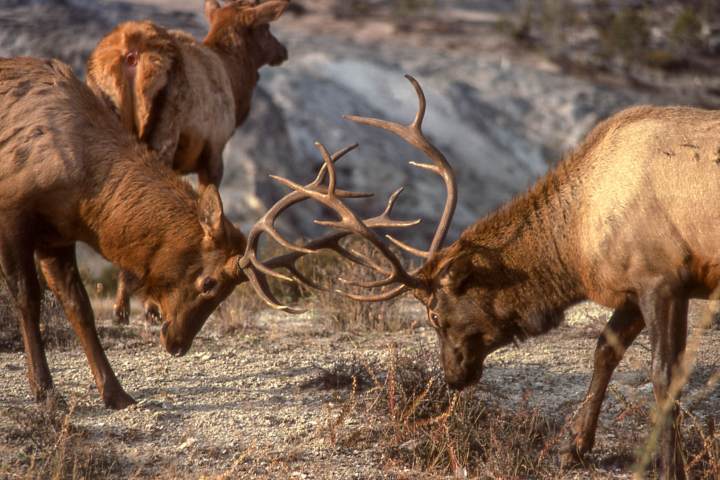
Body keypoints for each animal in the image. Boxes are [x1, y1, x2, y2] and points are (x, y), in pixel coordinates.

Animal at [0, 56, 408, 410]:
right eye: (209, 283)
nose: (177, 344)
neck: (83, 194)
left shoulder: (56, 235)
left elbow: (78, 306)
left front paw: (116, 395)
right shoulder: (12, 214)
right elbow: (28, 298)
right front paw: (44, 391)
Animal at [85, 0, 289, 324]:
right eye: (266, 27)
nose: (283, 50)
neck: (234, 81)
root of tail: (130, 56)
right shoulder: (214, 151)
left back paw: (121, 309)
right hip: (164, 128)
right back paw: (148, 308)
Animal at [290, 75, 719, 479]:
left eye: (435, 315)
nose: (452, 377)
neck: (578, 243)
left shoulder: (660, 278)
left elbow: (664, 376)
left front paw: (669, 468)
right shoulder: (637, 287)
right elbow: (604, 352)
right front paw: (572, 447)